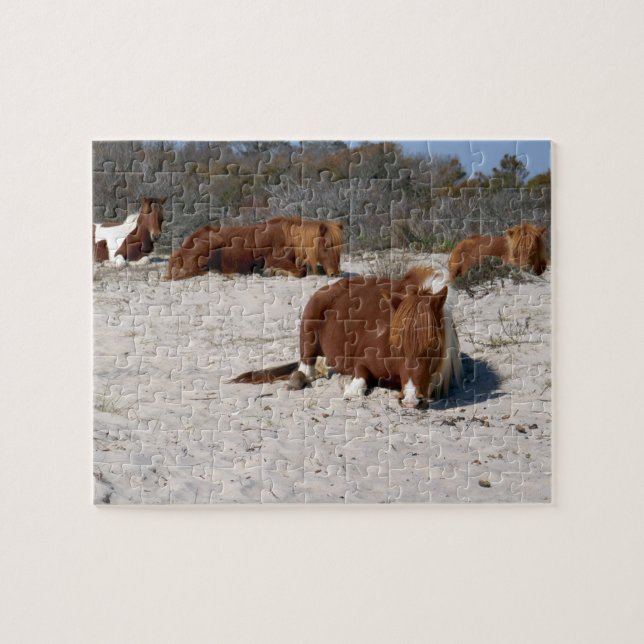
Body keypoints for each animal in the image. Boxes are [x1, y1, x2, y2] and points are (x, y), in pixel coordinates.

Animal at [165, 216, 343, 280]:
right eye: (326, 246)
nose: (335, 273)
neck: (289, 238)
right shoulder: (274, 260)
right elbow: (300, 272)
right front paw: (273, 272)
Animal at [229, 267, 462, 408]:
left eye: (433, 345)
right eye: (397, 346)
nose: (412, 400)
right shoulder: (363, 361)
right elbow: (357, 383)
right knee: (305, 371)